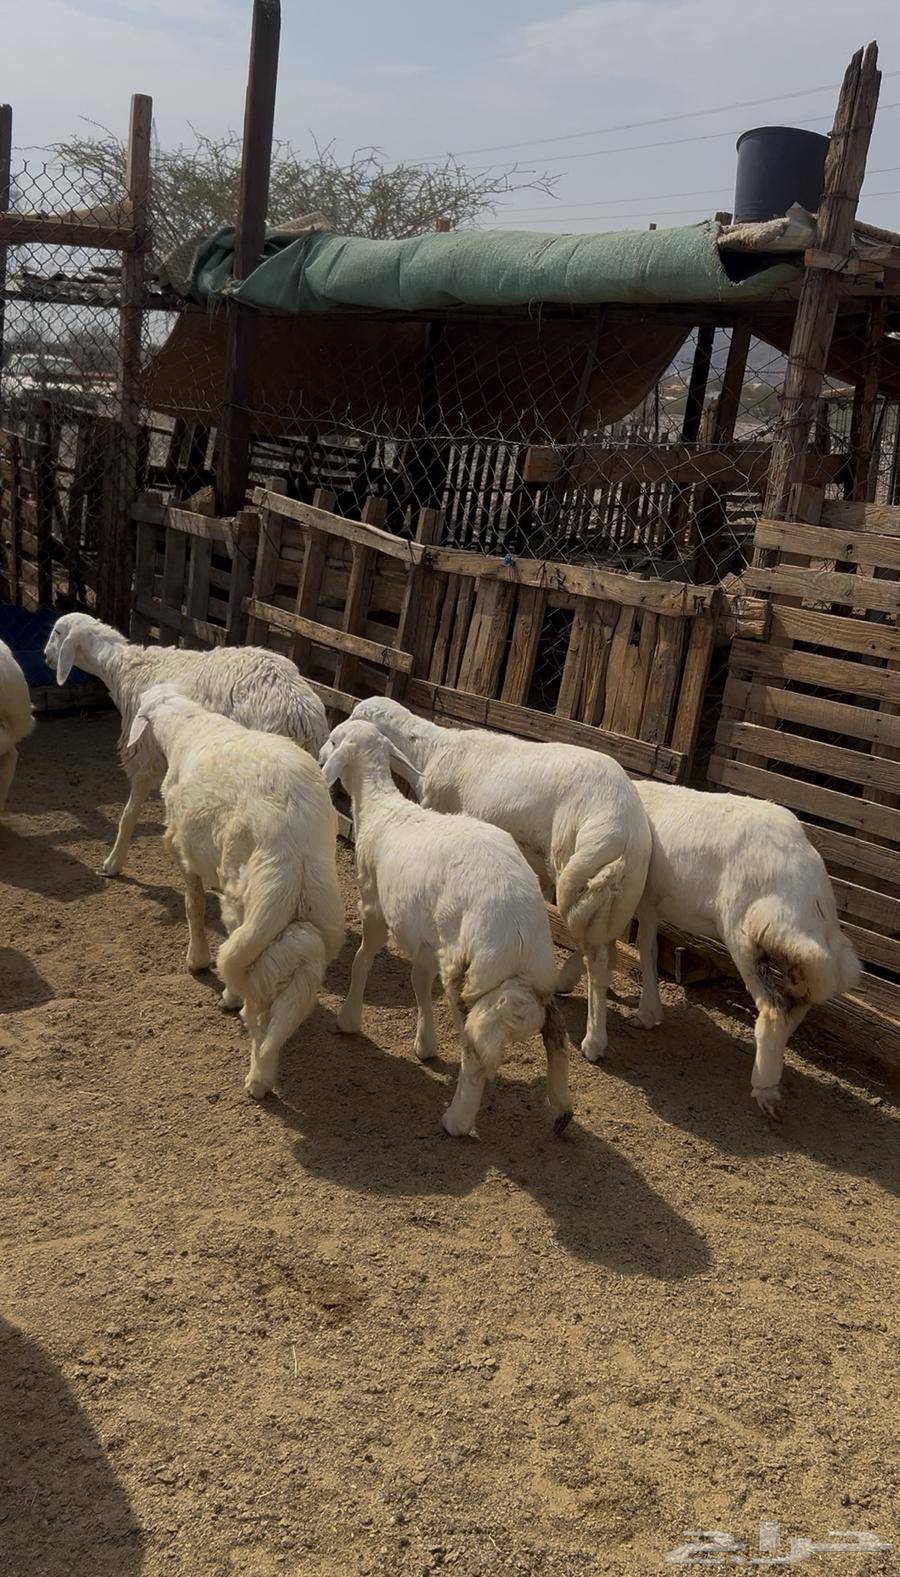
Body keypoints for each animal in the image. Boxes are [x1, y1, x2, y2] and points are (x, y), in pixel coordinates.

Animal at [44, 613, 328, 877]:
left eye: (57, 632)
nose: (45, 657)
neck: (123, 668)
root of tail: (301, 717)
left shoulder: (145, 754)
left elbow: (129, 814)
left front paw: (113, 863)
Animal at [126, 683, 344, 1099]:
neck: (186, 729)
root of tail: (295, 846)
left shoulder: (187, 854)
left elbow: (193, 906)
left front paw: (196, 960)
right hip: (311, 921)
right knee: (287, 999)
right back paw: (264, 1067)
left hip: (244, 896)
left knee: (254, 998)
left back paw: (253, 1068)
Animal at [319, 718, 576, 1138]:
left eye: (333, 738)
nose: (321, 756)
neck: (380, 807)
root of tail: (516, 934)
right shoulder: (424, 938)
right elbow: (419, 984)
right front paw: (425, 1044)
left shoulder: (373, 905)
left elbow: (362, 959)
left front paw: (349, 1019)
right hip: (537, 974)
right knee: (556, 1033)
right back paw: (561, 1109)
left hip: (465, 971)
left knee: (475, 1053)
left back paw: (457, 1119)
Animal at [345, 696, 652, 1065]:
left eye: (355, 717)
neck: (431, 751)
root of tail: (625, 829)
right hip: (617, 891)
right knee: (600, 939)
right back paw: (569, 981)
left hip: (574, 863)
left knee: (597, 956)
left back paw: (594, 1040)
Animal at [620, 781, 861, 1117]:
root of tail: (811, 896)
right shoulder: (650, 905)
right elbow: (648, 948)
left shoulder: (645, 901)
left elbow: (647, 950)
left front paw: (645, 1015)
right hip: (808, 961)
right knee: (797, 1004)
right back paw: (771, 1065)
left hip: (746, 933)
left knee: (773, 1009)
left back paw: (764, 1088)